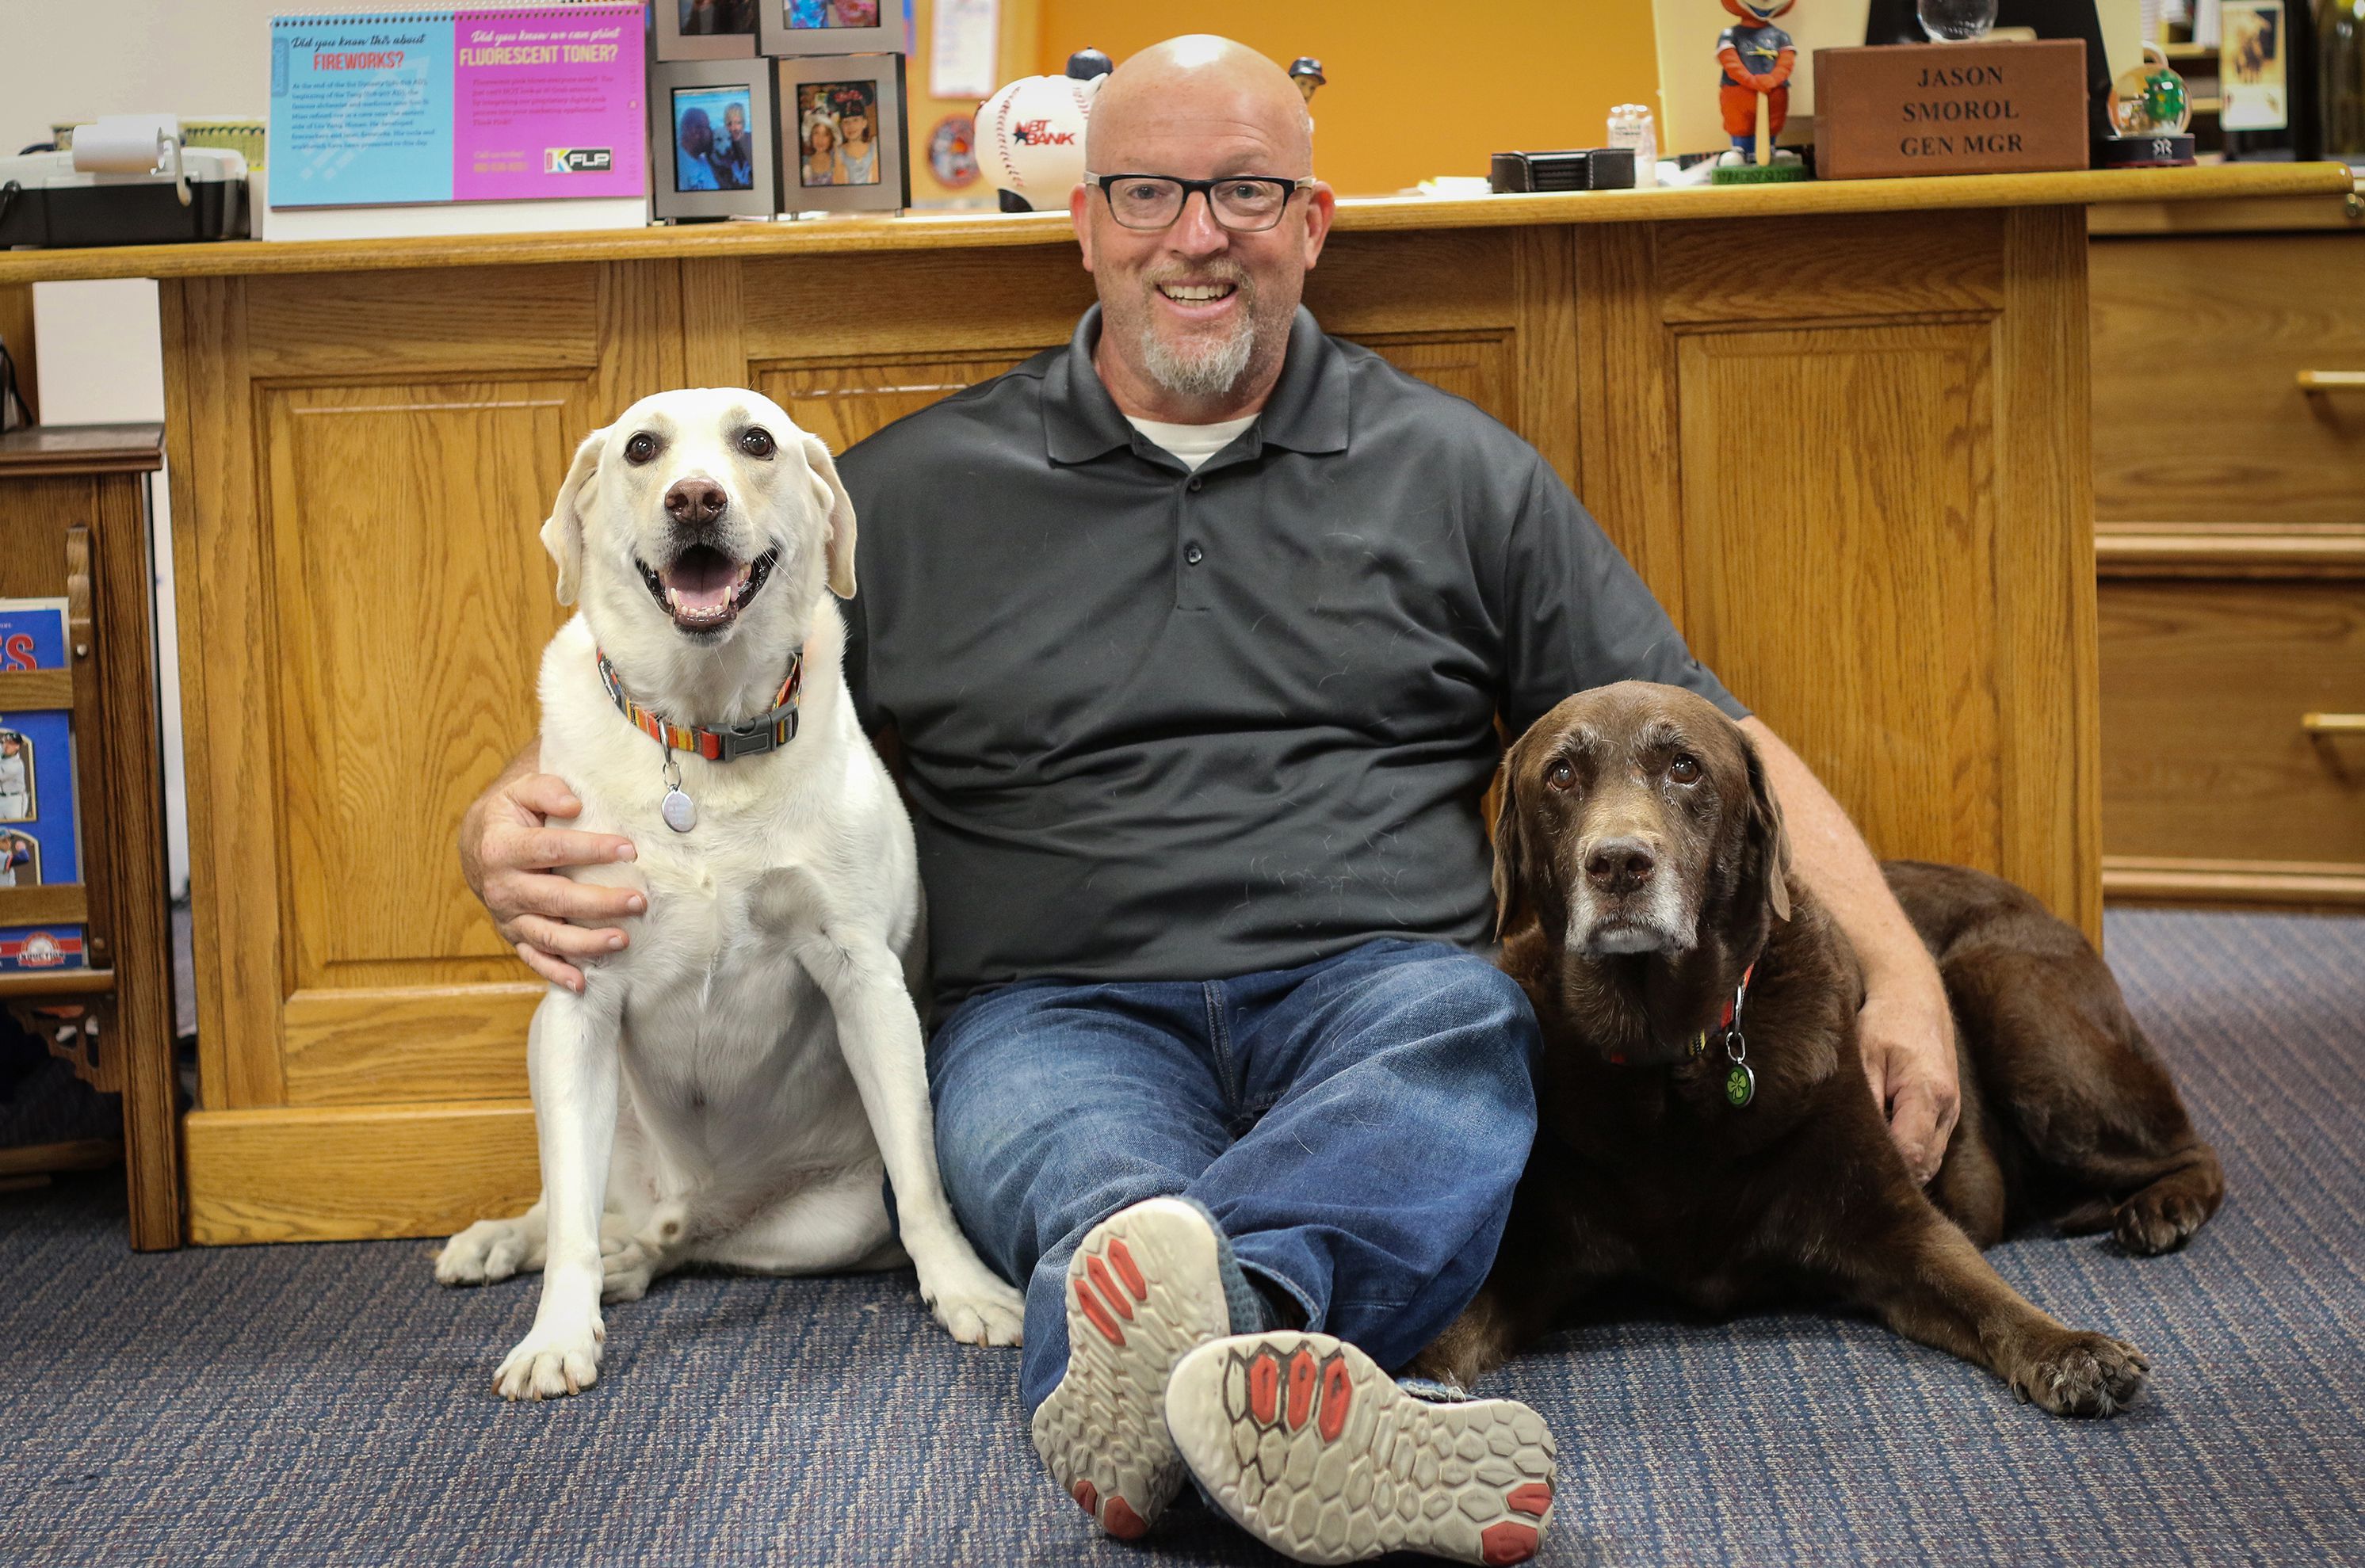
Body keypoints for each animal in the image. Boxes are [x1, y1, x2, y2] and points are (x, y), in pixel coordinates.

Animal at [437, 383, 1026, 1400]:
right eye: (641, 448)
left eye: (756, 441)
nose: (695, 499)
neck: (702, 736)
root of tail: (688, 1196)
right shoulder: (580, 996)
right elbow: (569, 1230)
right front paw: (555, 1334)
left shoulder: (863, 978)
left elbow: (921, 1182)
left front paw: (962, 1287)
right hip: (566, 1077)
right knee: (573, 1208)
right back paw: (507, 1240)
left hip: (830, 1214)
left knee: (682, 1241)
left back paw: (638, 1255)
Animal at [1409, 681, 2222, 1418]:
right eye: (1561, 775)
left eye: (1684, 767)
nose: (1618, 863)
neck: (1669, 1055)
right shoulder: (1523, 1256)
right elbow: (1441, 1332)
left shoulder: (1896, 1220)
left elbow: (1987, 1293)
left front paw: (2074, 1350)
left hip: (2008, 994)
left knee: (2193, 1150)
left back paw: (2162, 1208)